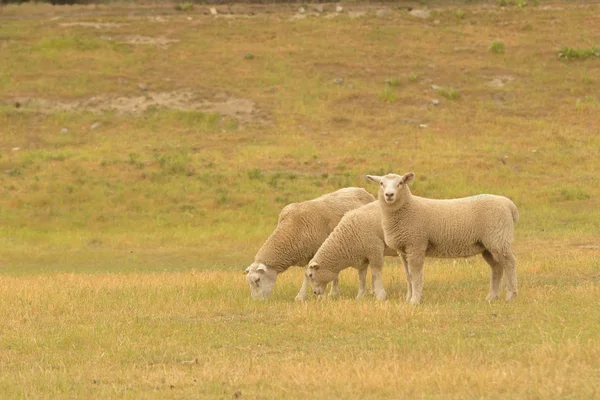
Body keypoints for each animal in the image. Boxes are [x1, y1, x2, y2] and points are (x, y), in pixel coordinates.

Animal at [244, 188, 376, 300]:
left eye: (257, 280)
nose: (256, 301)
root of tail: (363, 191)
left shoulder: (317, 253)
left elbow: (308, 274)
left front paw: (302, 296)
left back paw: (373, 291)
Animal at [364, 172, 516, 304]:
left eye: (400, 183)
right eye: (381, 183)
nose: (389, 195)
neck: (407, 208)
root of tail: (509, 205)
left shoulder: (416, 244)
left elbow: (415, 275)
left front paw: (415, 300)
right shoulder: (404, 250)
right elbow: (408, 275)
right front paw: (408, 299)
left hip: (498, 238)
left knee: (510, 264)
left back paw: (511, 296)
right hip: (488, 245)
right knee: (497, 268)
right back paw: (492, 297)